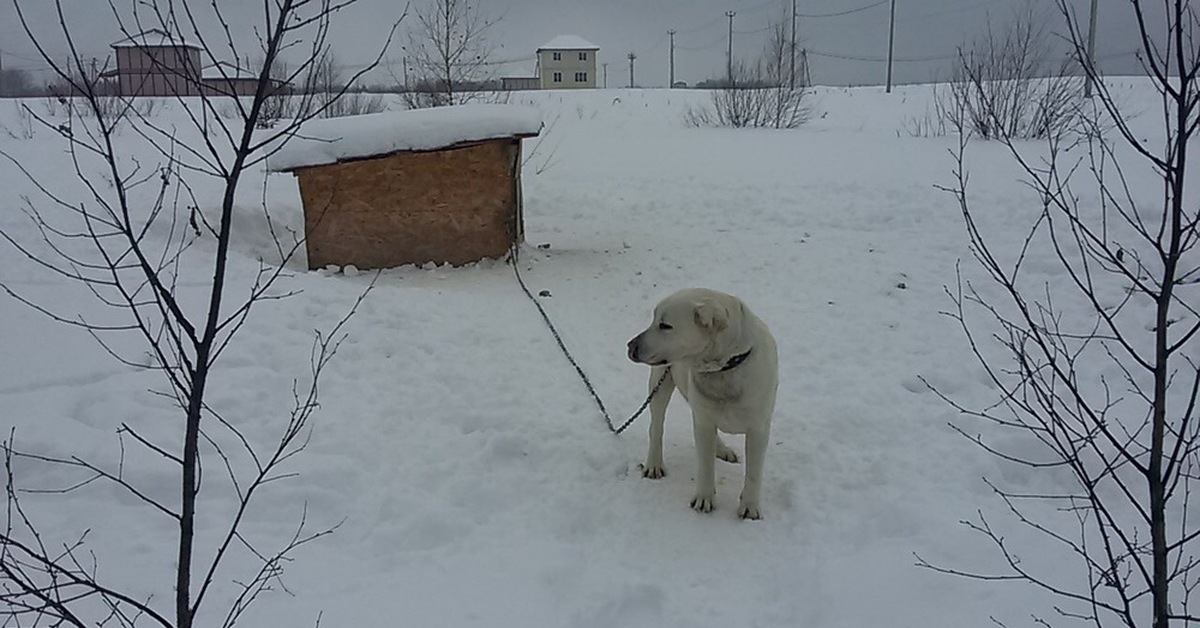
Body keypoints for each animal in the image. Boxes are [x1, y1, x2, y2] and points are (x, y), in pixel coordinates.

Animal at [624, 286, 782, 518]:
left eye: (665, 325)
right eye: (654, 320)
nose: (630, 346)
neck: (724, 368)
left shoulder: (758, 429)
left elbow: (753, 473)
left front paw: (750, 507)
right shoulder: (704, 420)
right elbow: (705, 466)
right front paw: (704, 498)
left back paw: (722, 449)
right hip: (660, 384)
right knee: (657, 427)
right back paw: (654, 463)